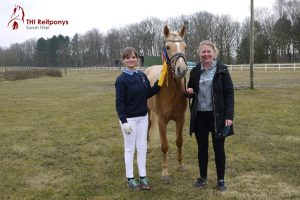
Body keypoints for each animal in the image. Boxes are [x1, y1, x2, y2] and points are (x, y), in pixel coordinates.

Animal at [145, 25, 188, 181]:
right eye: (168, 47)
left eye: (185, 47)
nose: (182, 70)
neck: (172, 90)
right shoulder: (161, 120)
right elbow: (164, 146)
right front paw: (165, 173)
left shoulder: (180, 118)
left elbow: (179, 141)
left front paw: (180, 165)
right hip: (148, 112)